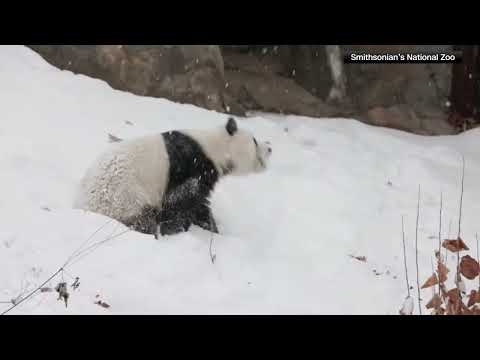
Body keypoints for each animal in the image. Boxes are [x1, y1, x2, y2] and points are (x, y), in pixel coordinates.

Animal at [74, 116, 270, 238]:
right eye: (254, 141)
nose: (270, 148)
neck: (213, 147)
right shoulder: (190, 166)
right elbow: (179, 201)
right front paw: (176, 231)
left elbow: (199, 206)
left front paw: (211, 229)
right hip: (126, 199)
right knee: (141, 220)